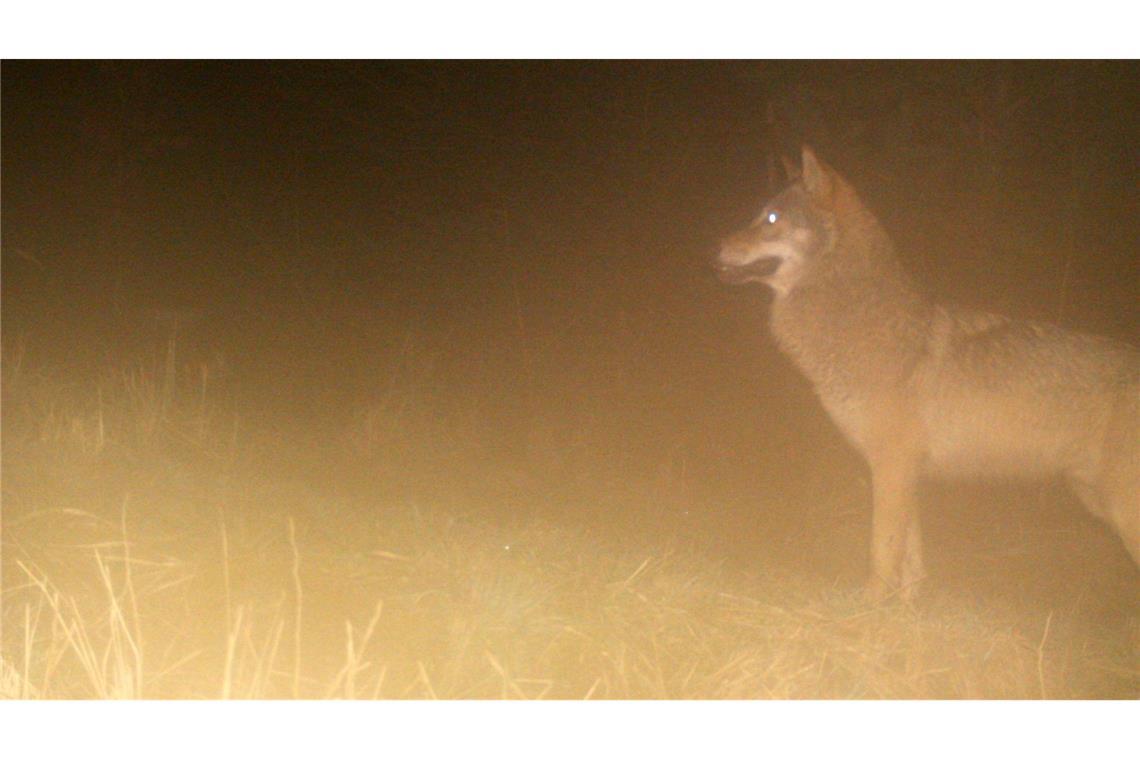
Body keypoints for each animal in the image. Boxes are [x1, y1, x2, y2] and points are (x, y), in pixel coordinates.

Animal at [715, 146, 1135, 601]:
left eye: (772, 218)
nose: (714, 246)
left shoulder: (891, 465)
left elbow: (881, 549)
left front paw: (869, 605)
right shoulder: (904, 471)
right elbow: (911, 555)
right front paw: (908, 606)